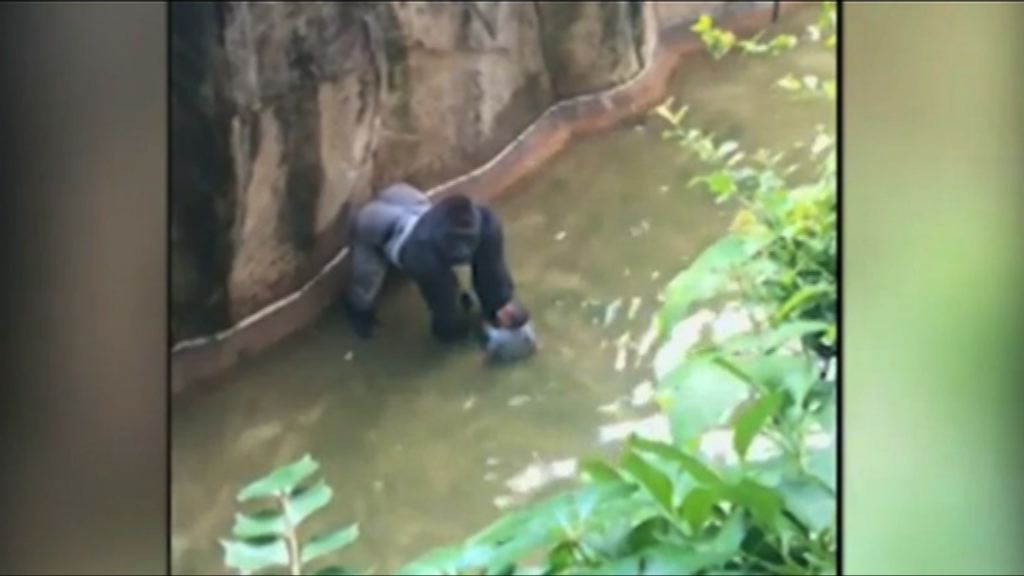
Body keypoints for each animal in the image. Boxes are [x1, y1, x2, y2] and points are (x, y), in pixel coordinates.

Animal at [346, 181, 524, 342]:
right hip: (366, 223)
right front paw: (457, 330)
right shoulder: (425, 256)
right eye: (453, 239)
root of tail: (377, 196)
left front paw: (499, 311)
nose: (463, 252)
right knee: (367, 283)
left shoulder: (489, 224)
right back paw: (360, 316)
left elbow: (491, 280)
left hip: (403, 191)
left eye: (468, 238)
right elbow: (447, 312)